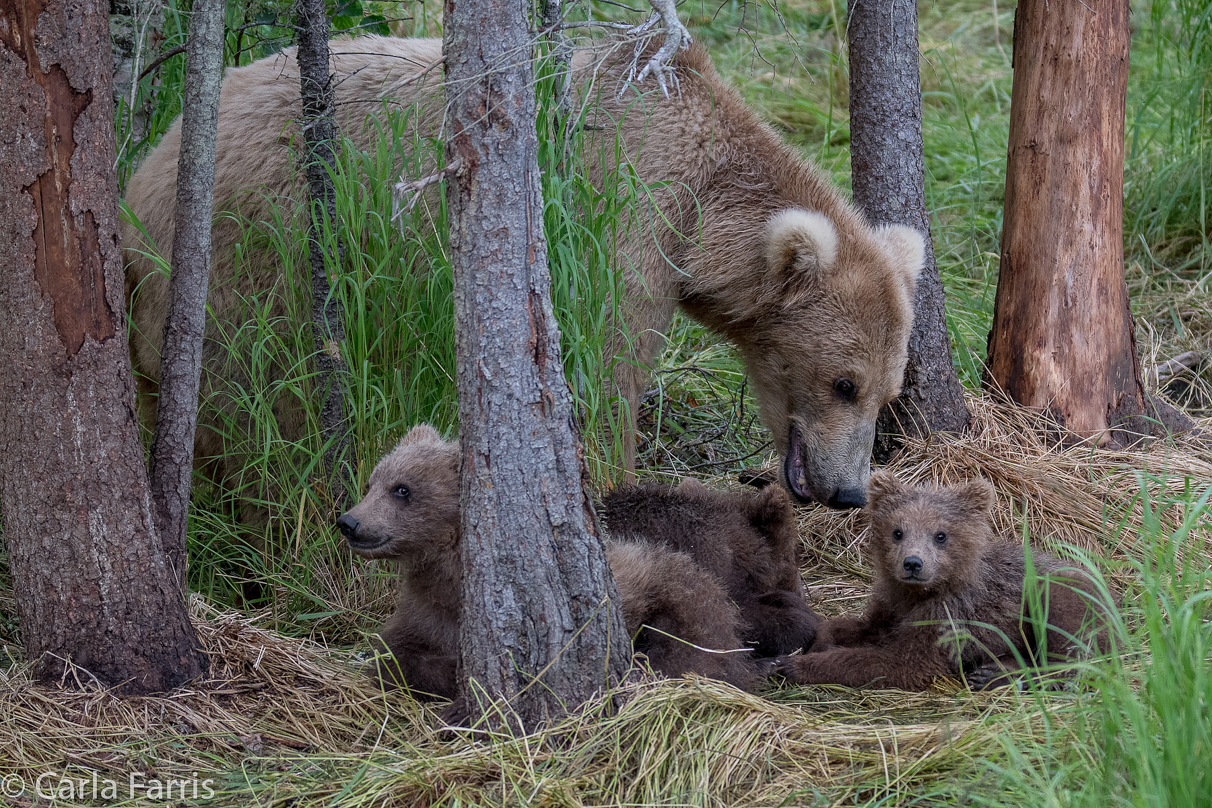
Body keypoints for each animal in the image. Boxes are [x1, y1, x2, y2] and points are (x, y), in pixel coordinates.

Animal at [123, 36, 921, 511]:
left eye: (888, 392)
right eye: (842, 383)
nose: (849, 492)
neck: (703, 206)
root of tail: (145, 170)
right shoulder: (624, 218)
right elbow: (609, 368)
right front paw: (613, 488)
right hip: (257, 250)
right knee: (248, 391)